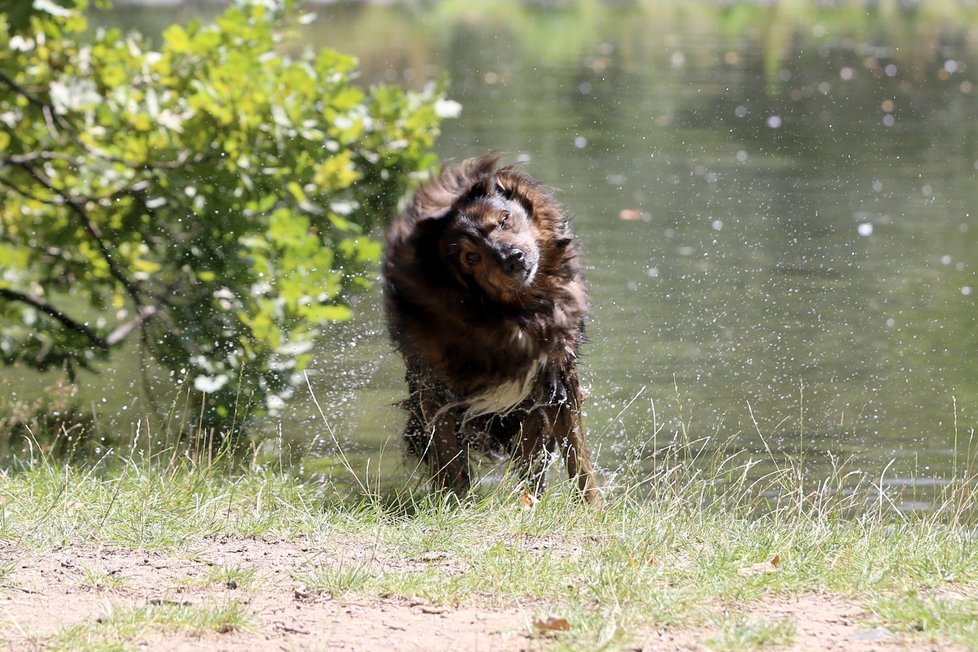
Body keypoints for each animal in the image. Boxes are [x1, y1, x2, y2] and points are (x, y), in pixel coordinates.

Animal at [380, 154, 596, 504]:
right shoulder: (436, 390)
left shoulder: (557, 379)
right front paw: (454, 505)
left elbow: (578, 460)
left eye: (504, 220)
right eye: (471, 257)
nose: (513, 259)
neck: (514, 314)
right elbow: (450, 460)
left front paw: (593, 509)